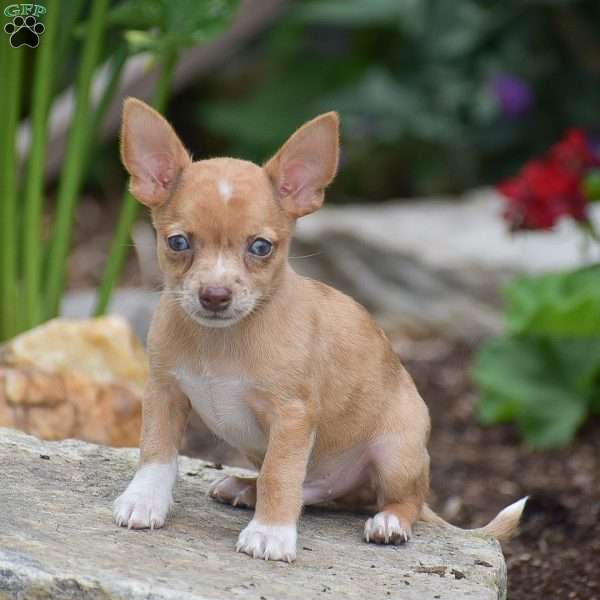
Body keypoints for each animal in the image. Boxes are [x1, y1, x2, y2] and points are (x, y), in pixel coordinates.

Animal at [113, 97, 524, 564]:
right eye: (178, 242)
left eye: (260, 247)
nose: (214, 295)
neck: (220, 341)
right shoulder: (163, 392)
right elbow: (157, 452)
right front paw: (144, 500)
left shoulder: (291, 416)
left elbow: (279, 474)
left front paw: (271, 533)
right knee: (315, 491)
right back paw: (245, 489)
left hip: (397, 453)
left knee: (404, 500)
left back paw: (388, 522)